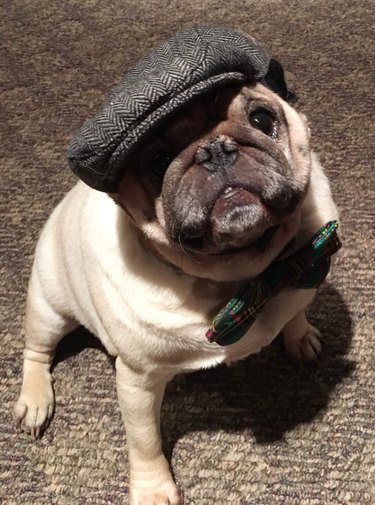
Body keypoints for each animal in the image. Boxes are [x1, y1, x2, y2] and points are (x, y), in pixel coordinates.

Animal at [14, 79, 340, 504]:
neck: (247, 277)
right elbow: (144, 442)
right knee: (37, 351)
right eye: (158, 160)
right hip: (49, 308)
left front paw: (300, 336)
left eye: (261, 119)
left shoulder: (301, 267)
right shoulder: (137, 381)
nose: (214, 150)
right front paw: (153, 487)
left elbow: (295, 308)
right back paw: (35, 399)